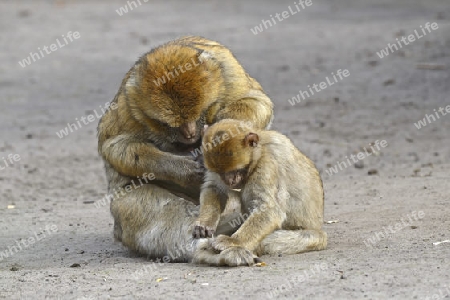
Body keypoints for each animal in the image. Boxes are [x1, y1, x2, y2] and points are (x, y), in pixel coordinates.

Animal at [98, 35, 272, 262]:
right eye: (170, 124)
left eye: (197, 115)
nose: (189, 134)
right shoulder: (130, 104)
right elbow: (114, 145)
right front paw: (183, 170)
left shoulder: (228, 70)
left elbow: (257, 102)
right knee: (134, 203)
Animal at [191, 119, 326, 264]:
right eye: (220, 172)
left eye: (235, 171)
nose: (229, 181)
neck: (259, 152)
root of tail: (319, 229)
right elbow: (214, 187)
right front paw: (205, 223)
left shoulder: (266, 166)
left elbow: (270, 210)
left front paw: (233, 241)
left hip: (310, 237)